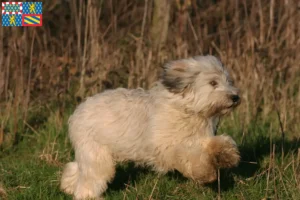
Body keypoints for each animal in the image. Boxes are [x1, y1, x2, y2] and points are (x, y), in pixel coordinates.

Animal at [61, 54, 241, 198]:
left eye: (228, 81)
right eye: (213, 83)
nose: (235, 97)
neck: (187, 109)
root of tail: (78, 111)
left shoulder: (197, 137)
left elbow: (211, 144)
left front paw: (226, 153)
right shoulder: (167, 147)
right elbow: (189, 157)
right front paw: (205, 172)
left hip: (91, 154)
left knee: (77, 169)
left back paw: (67, 185)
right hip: (97, 155)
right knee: (88, 182)